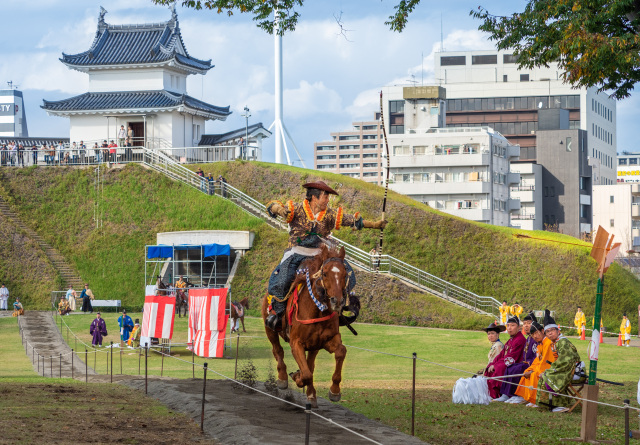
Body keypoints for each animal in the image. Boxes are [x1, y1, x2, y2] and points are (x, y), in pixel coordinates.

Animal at [260, 245, 350, 408]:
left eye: (345, 274)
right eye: (325, 273)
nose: (337, 301)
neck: (317, 310)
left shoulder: (327, 340)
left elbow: (341, 351)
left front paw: (334, 391)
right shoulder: (296, 343)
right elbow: (306, 374)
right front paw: (297, 377)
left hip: (314, 346)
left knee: (310, 364)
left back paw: (311, 394)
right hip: (270, 329)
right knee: (278, 350)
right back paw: (282, 377)